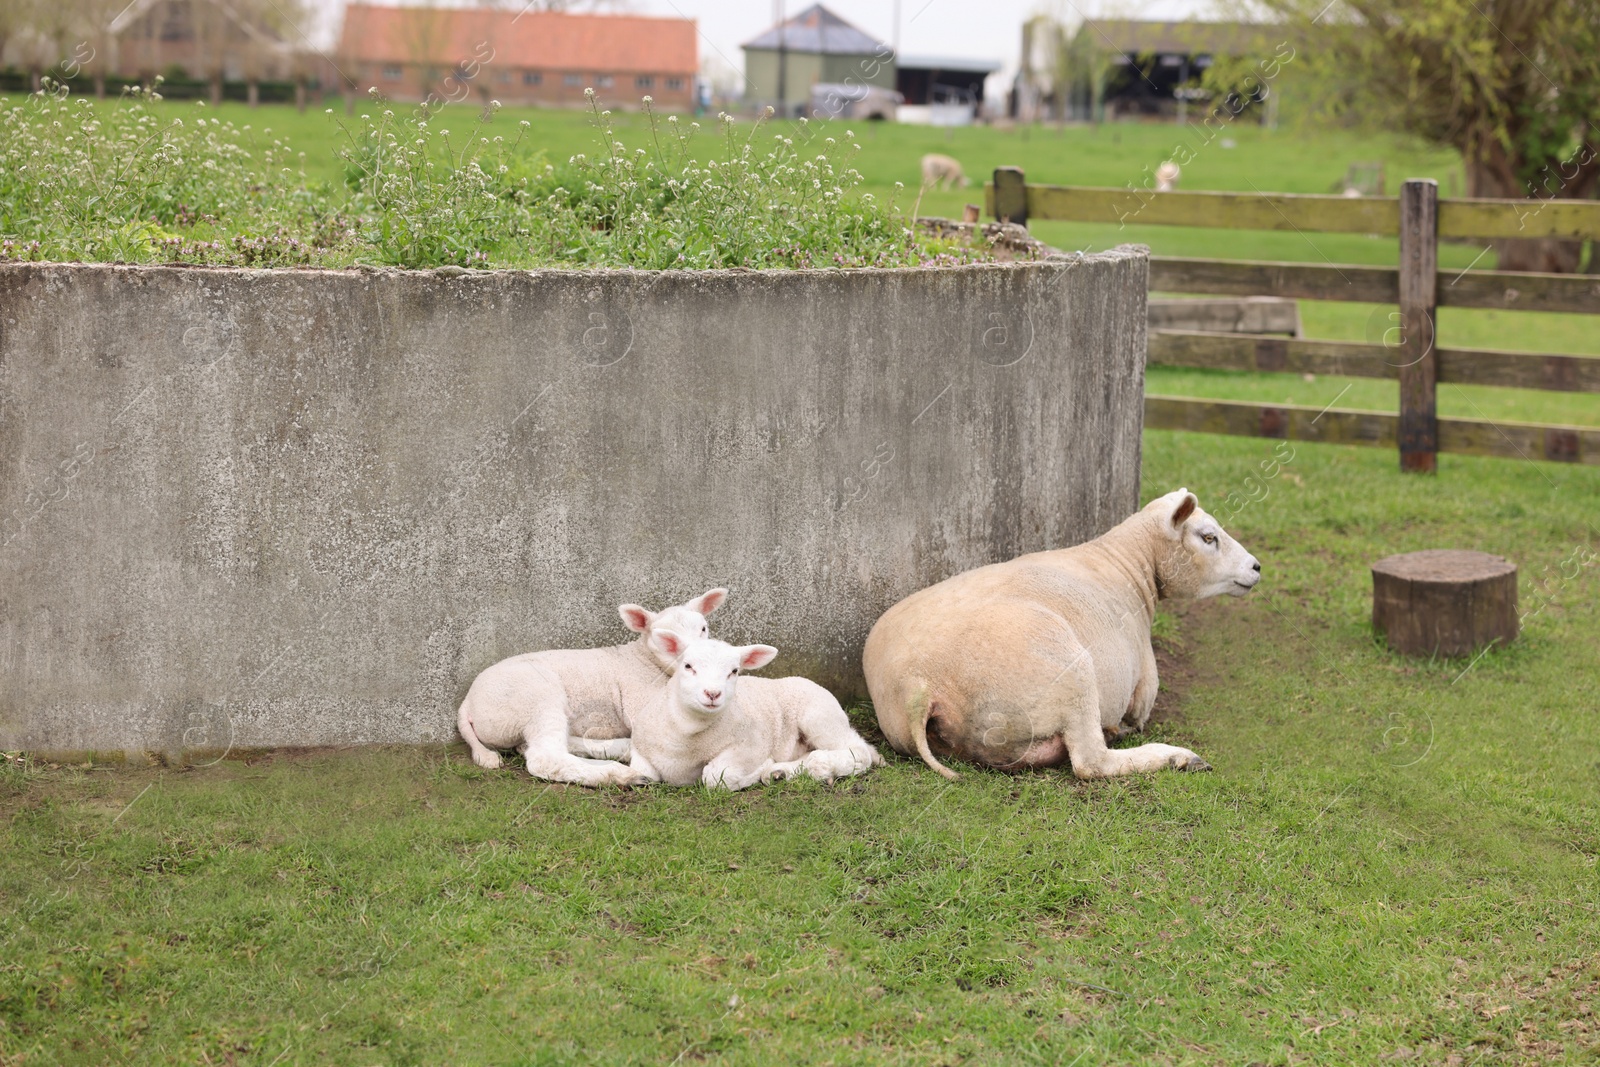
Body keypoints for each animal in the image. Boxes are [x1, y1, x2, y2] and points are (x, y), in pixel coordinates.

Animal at [454, 588, 723, 790]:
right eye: (665, 640)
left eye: (703, 628)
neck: (643, 660)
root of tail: (467, 703)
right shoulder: (643, 704)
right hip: (536, 697)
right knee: (544, 758)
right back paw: (622, 775)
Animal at [624, 633, 883, 793]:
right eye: (688, 666)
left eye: (734, 671)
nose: (712, 693)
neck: (687, 734)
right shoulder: (639, 748)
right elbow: (644, 773)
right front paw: (770, 770)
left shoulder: (751, 745)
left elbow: (715, 776)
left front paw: (758, 769)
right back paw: (781, 773)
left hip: (820, 716)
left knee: (858, 751)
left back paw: (818, 766)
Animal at [864, 489, 1260, 780]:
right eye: (1208, 537)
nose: (1256, 567)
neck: (1128, 565)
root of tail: (920, 684)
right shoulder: (1143, 686)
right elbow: (1135, 718)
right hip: (1069, 673)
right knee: (1091, 762)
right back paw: (1177, 756)